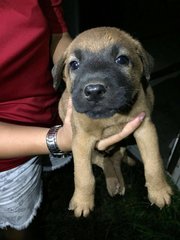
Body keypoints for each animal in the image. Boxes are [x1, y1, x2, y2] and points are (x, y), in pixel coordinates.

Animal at [53, 27, 173, 217]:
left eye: (122, 59)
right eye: (74, 64)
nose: (94, 91)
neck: (111, 117)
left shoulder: (145, 129)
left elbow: (154, 163)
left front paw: (159, 191)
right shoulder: (81, 141)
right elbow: (83, 176)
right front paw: (82, 201)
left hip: (121, 146)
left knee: (115, 159)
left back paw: (120, 179)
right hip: (95, 153)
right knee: (104, 162)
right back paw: (113, 183)